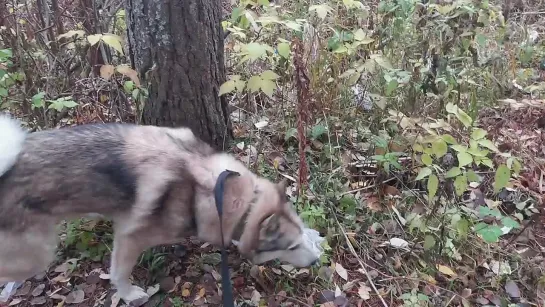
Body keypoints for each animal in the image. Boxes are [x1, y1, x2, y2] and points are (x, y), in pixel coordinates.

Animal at [0, 116, 318, 307]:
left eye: (301, 236)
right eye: (291, 247)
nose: (316, 262)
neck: (218, 190)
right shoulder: (129, 238)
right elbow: (119, 273)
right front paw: (129, 295)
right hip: (37, 255)